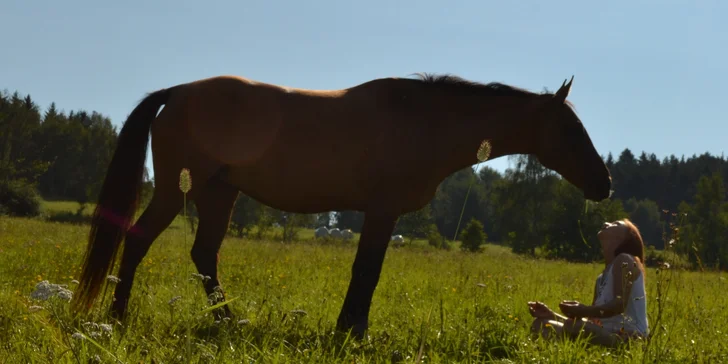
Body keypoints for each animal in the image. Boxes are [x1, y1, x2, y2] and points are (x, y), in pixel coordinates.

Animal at [72, 71, 608, 338]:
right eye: (569, 129)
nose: (604, 184)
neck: (424, 121)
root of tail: (176, 93)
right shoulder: (382, 212)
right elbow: (366, 272)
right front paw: (353, 331)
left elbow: (366, 271)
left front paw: (350, 327)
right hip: (177, 190)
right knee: (139, 241)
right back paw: (120, 317)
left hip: (219, 194)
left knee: (204, 255)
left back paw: (230, 322)